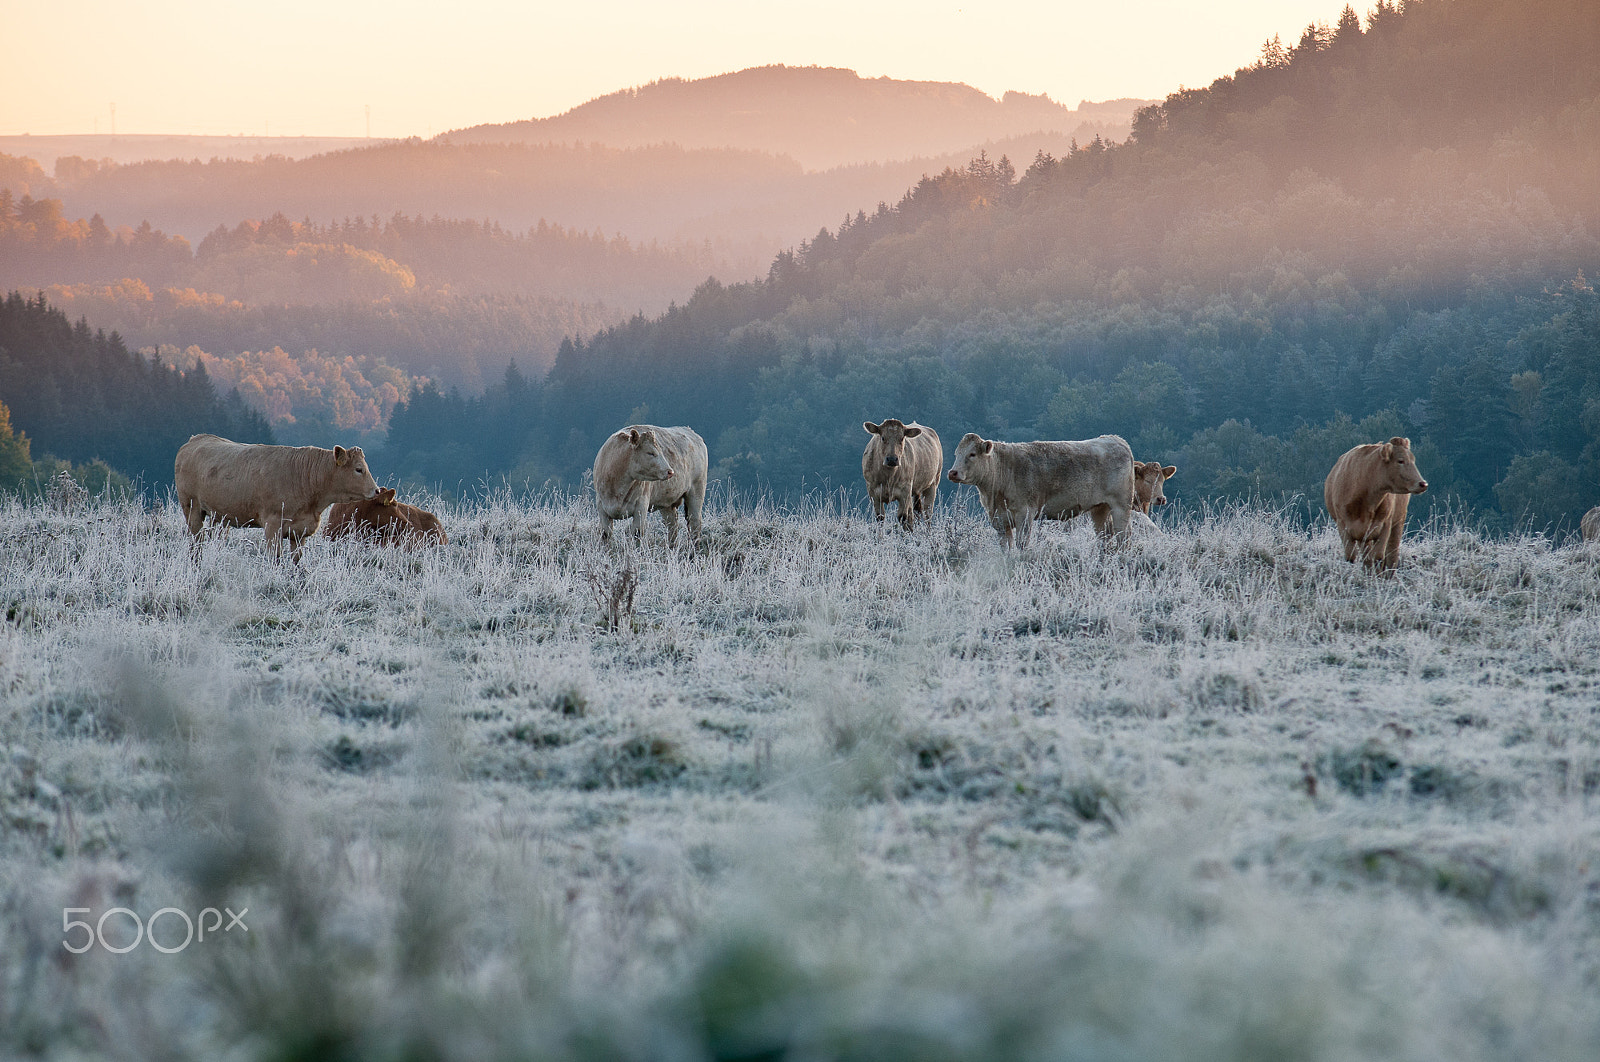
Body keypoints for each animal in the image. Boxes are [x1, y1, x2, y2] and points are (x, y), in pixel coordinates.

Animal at [172, 435, 380, 559]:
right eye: (359, 469)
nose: (377, 490)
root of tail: (196, 439)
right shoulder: (272, 525)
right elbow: (276, 558)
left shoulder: (300, 531)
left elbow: (297, 560)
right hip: (191, 508)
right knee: (196, 540)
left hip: (219, 516)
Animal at [947, 431, 1139, 546]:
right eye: (956, 454)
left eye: (972, 454)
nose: (952, 472)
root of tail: (1114, 439)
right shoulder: (1000, 521)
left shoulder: (1025, 513)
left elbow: (1022, 544)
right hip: (1100, 508)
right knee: (1104, 537)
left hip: (1121, 505)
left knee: (1123, 535)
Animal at [1318, 435, 1433, 572]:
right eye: (1400, 461)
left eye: (1413, 460)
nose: (1423, 484)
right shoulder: (1343, 525)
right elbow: (1351, 558)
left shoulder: (1385, 524)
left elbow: (1379, 558)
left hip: (1398, 521)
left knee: (1391, 557)